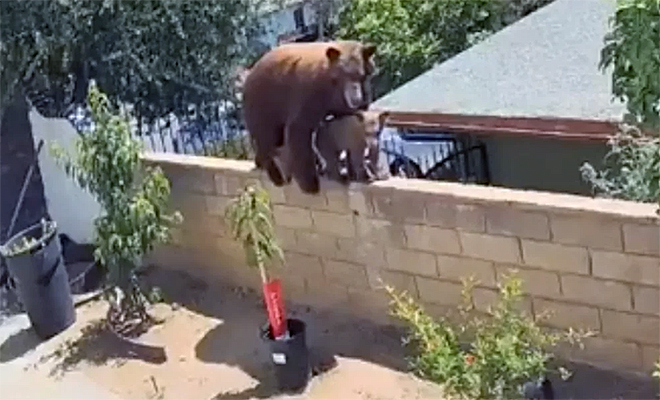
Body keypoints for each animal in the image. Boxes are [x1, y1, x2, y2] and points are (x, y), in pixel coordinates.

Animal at [242, 41, 376, 195]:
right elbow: (299, 127)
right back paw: (275, 174)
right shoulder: (310, 92)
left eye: (361, 75)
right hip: (265, 103)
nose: (356, 99)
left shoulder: (344, 102)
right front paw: (310, 183)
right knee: (267, 137)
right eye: (342, 75)